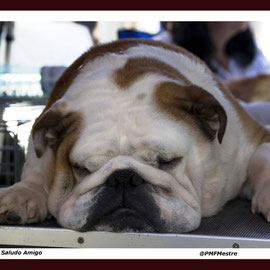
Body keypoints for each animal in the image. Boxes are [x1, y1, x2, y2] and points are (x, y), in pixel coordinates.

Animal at [0, 39, 270, 233]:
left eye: (167, 162)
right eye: (82, 169)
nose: (123, 178)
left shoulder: (253, 140)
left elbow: (262, 159)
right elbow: (36, 168)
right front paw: (22, 195)